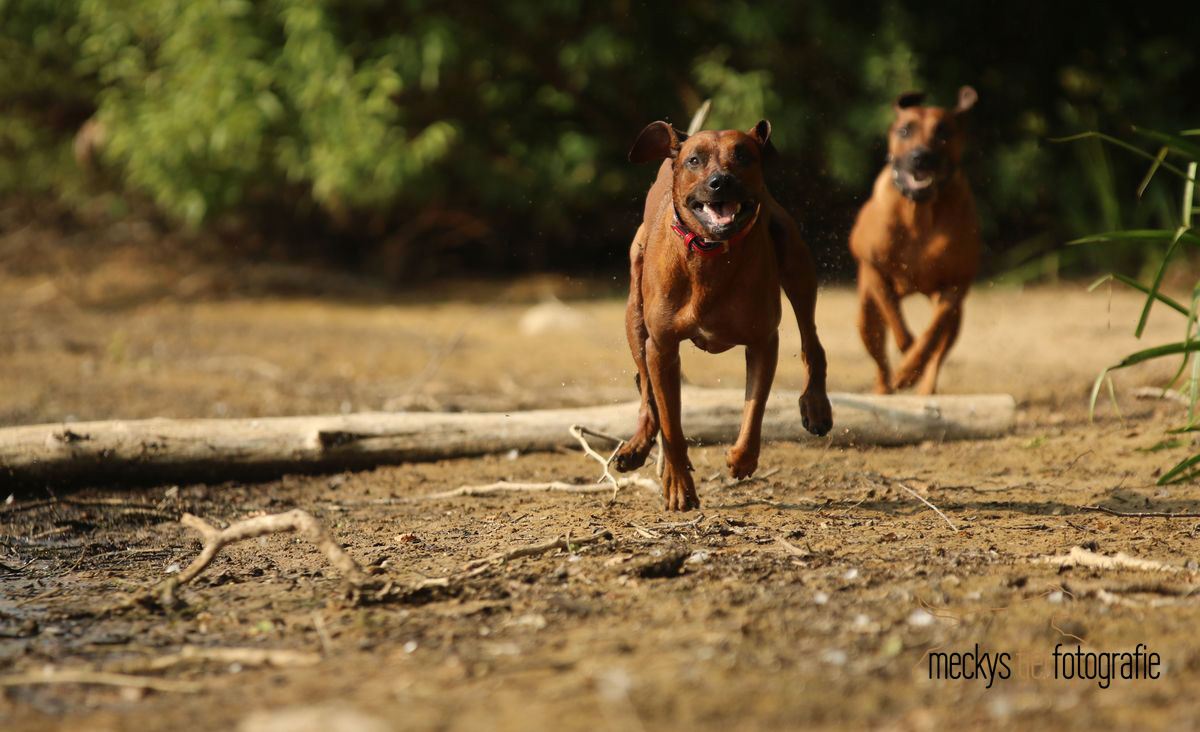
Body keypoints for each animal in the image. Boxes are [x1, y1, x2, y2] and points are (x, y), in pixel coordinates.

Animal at [614, 118, 830, 506]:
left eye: (743, 156)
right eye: (694, 160)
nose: (721, 182)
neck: (709, 254)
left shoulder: (763, 341)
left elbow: (754, 408)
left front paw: (742, 459)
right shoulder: (662, 348)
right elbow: (672, 424)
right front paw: (679, 485)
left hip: (796, 263)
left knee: (812, 342)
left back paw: (816, 406)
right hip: (634, 315)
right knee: (646, 389)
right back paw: (638, 446)